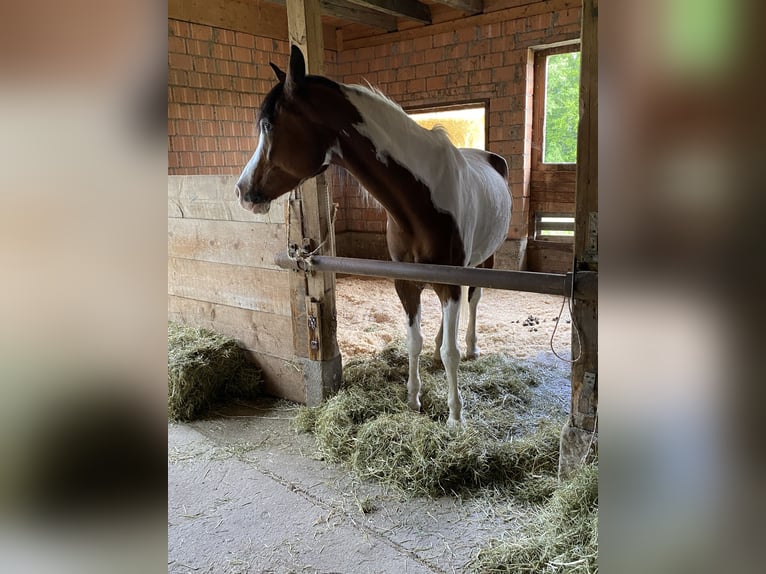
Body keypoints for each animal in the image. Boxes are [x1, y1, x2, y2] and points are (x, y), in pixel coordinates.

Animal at [237, 45, 512, 426]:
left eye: (269, 124)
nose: (242, 191)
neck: (423, 200)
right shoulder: (405, 282)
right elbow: (415, 341)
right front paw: (412, 399)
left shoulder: (451, 281)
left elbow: (451, 351)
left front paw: (456, 416)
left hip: (483, 262)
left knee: (474, 301)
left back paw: (472, 347)